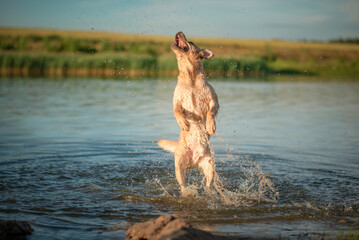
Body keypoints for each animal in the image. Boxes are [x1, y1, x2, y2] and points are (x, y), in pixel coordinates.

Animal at [158, 31, 228, 199]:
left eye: (190, 41)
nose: (179, 32)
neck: (190, 78)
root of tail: (194, 162)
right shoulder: (177, 101)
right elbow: (177, 111)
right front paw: (183, 122)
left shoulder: (214, 101)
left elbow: (210, 111)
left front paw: (210, 126)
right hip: (179, 166)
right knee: (182, 184)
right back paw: (187, 192)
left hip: (209, 166)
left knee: (208, 185)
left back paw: (211, 193)